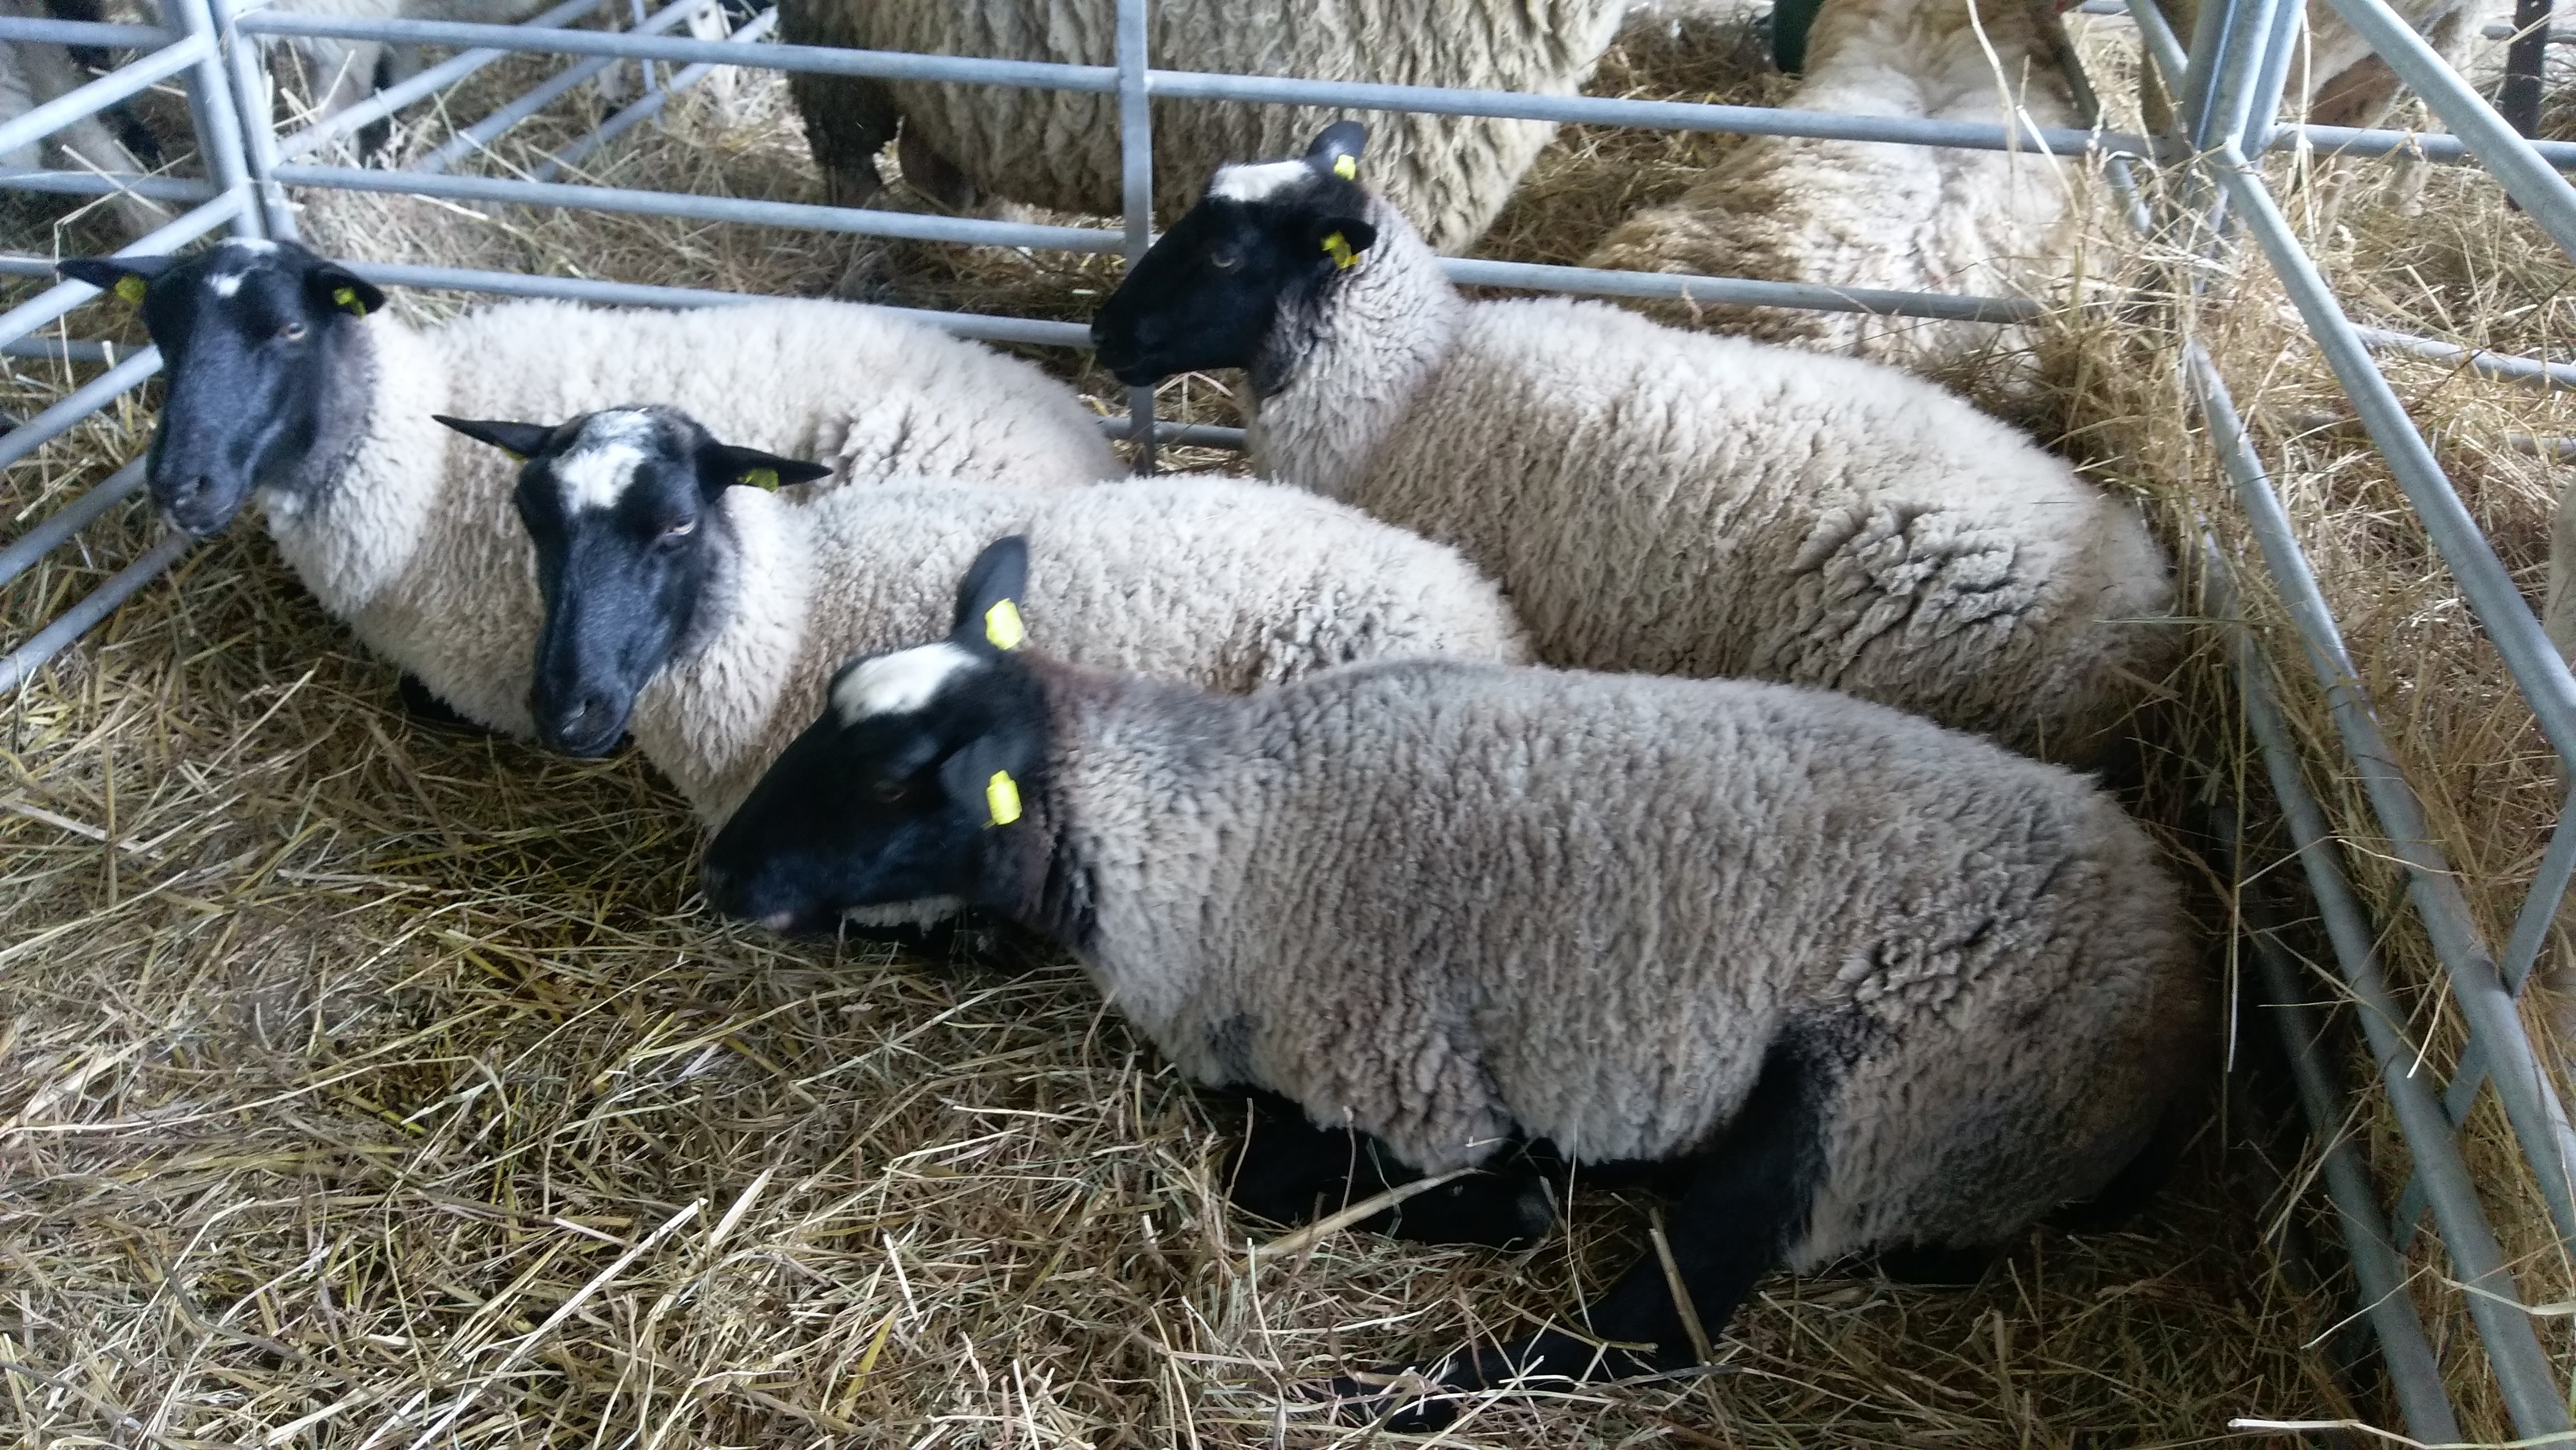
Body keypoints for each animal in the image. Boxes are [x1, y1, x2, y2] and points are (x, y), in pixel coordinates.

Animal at [697, 535, 2211, 1429]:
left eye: (894, 780)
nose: (716, 872)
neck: (1225, 835)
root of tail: (2176, 1003)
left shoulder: (1404, 1073)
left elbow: (1280, 1172)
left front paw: (1521, 1195)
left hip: (1882, 1091)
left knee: (1651, 1338)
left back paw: (1388, 1390)